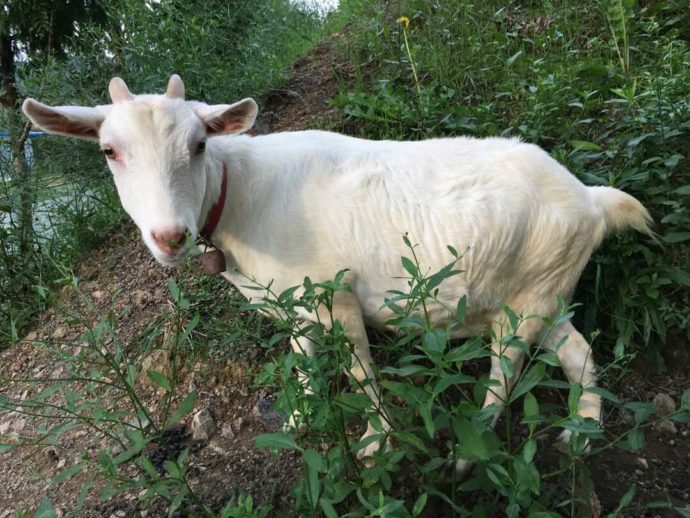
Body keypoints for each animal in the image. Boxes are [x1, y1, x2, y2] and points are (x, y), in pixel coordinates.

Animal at [21, 76, 652, 472]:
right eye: (108, 150)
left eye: (199, 143)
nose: (170, 236)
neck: (241, 194)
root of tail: (592, 200)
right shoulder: (294, 302)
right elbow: (302, 360)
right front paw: (299, 418)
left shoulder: (336, 293)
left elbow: (359, 370)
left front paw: (375, 444)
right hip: (544, 289)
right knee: (577, 351)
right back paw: (580, 435)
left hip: (526, 302)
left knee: (507, 370)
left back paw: (468, 453)